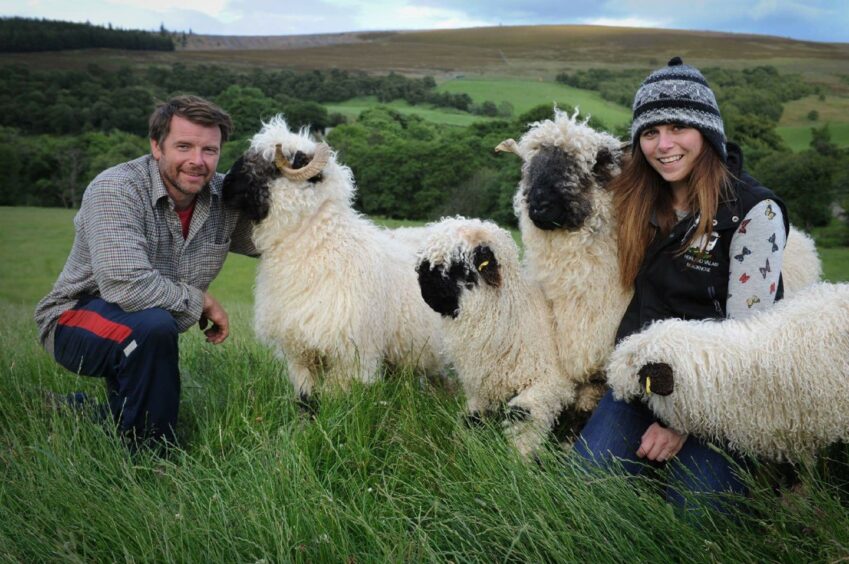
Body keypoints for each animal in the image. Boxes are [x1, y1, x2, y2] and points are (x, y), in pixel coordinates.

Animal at [222, 117, 444, 404]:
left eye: (274, 167)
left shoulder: (351, 353)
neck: (321, 243)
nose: (225, 185)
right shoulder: (299, 350)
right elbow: (307, 397)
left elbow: (333, 398)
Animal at [416, 217, 580, 458]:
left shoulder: (548, 385)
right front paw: (465, 447)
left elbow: (522, 418)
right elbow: (472, 420)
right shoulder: (481, 390)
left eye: (457, 267)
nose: (423, 284)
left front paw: (521, 459)